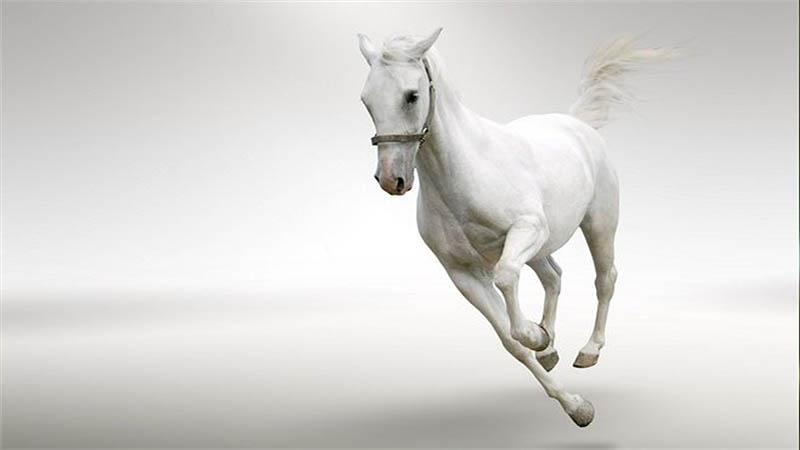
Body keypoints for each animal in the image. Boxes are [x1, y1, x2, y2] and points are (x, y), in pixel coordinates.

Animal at [358, 28, 677, 427]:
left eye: (411, 95)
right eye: (366, 101)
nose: (391, 180)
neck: (466, 171)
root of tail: (577, 124)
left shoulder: (526, 230)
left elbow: (507, 278)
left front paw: (539, 341)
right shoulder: (462, 273)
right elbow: (510, 341)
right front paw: (574, 402)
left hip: (598, 224)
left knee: (605, 279)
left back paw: (588, 350)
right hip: (543, 248)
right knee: (554, 277)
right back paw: (550, 347)